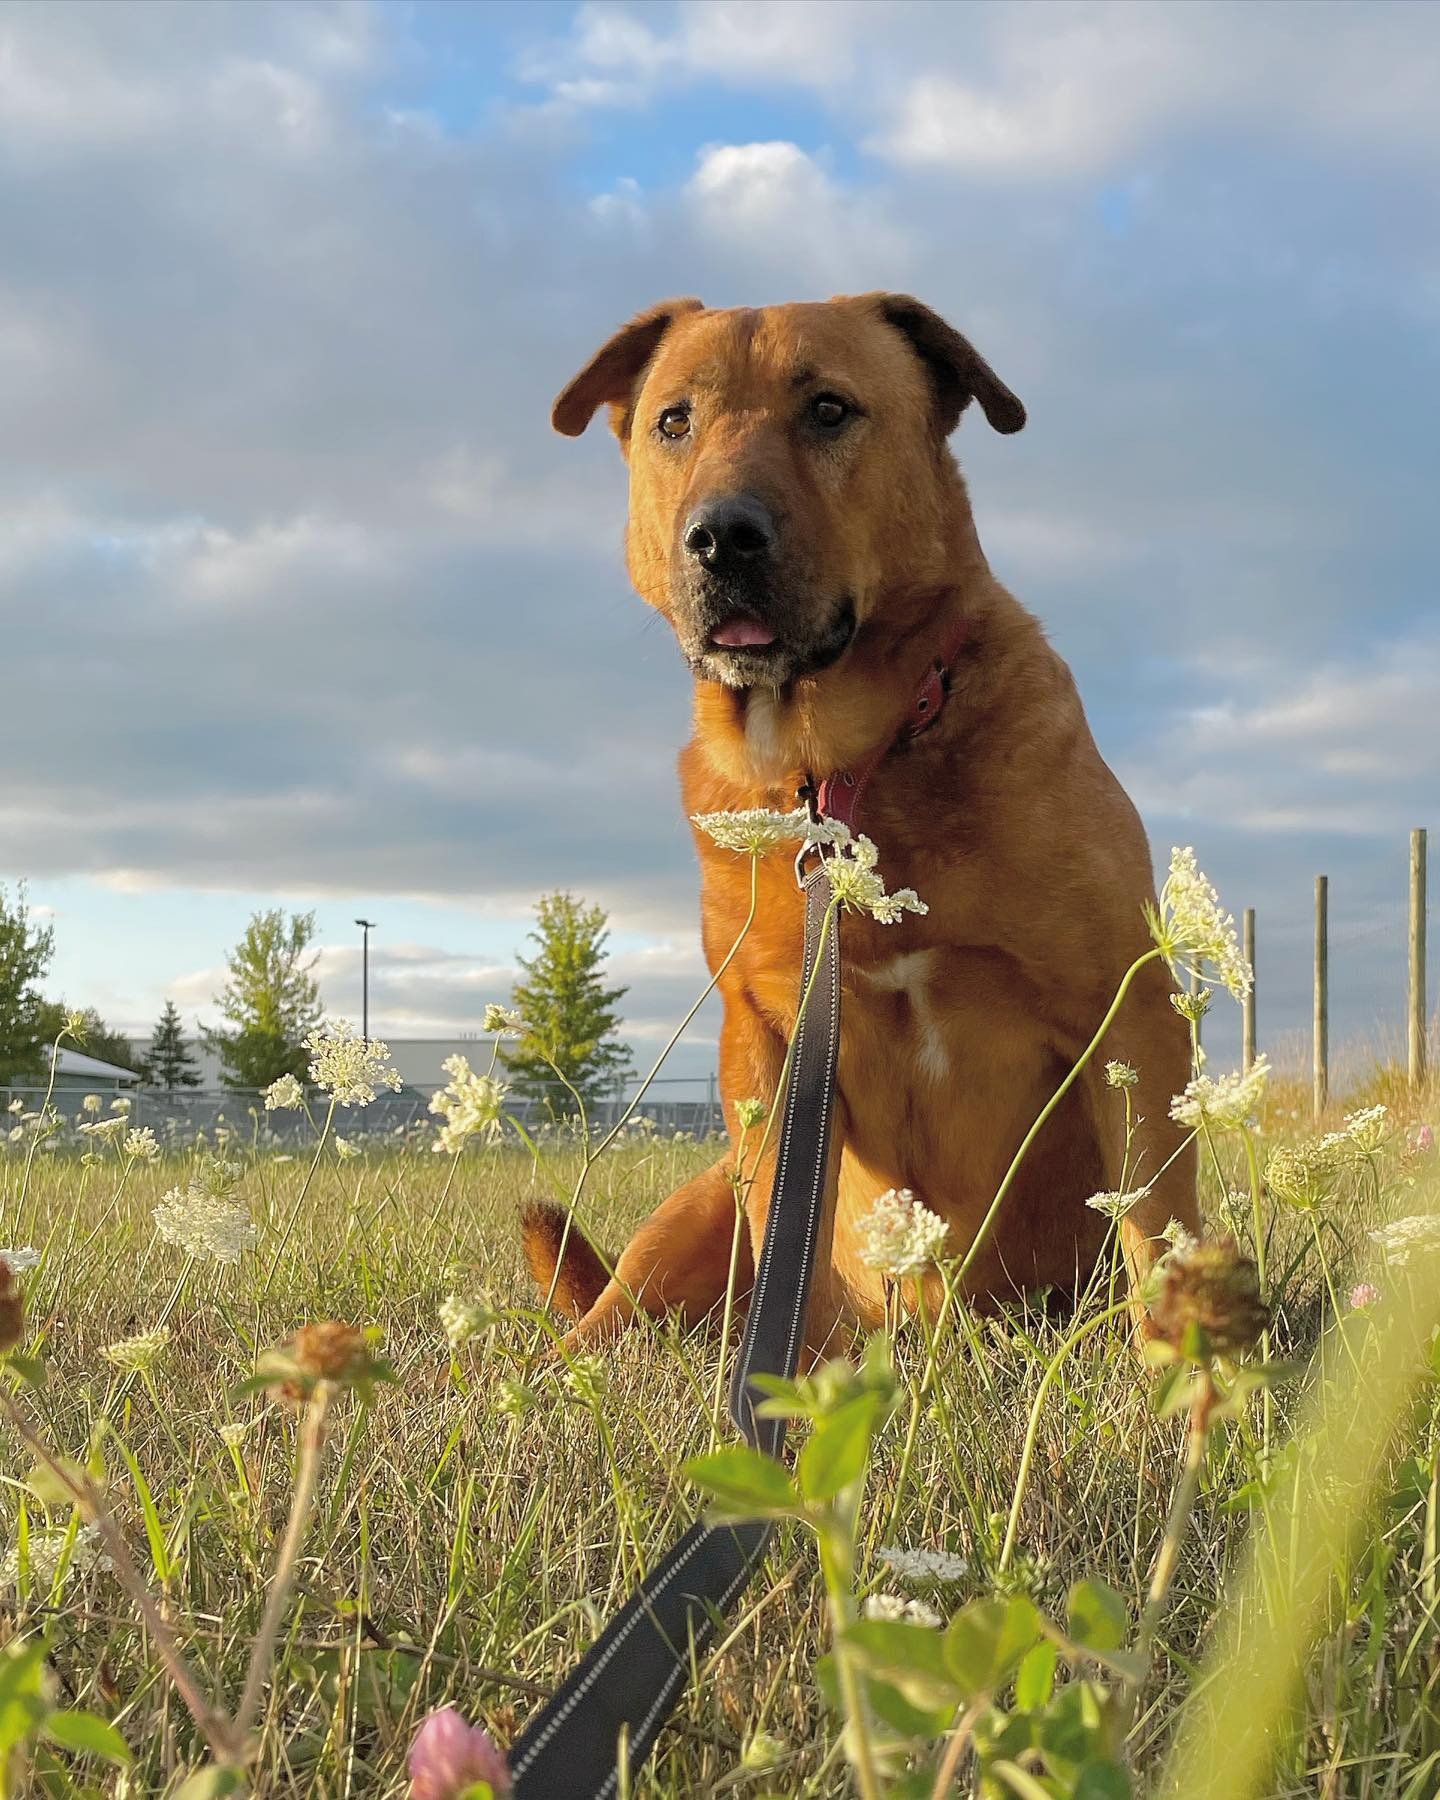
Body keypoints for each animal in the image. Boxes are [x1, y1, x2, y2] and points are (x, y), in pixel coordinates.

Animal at [522, 295, 1195, 1353]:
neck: (845, 767)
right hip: (683, 1226)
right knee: (613, 1314)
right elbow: (785, 1240)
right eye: (675, 421)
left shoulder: (1122, 1010)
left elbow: (1158, 1224)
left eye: (830, 409)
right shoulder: (769, 1048)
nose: (721, 536)